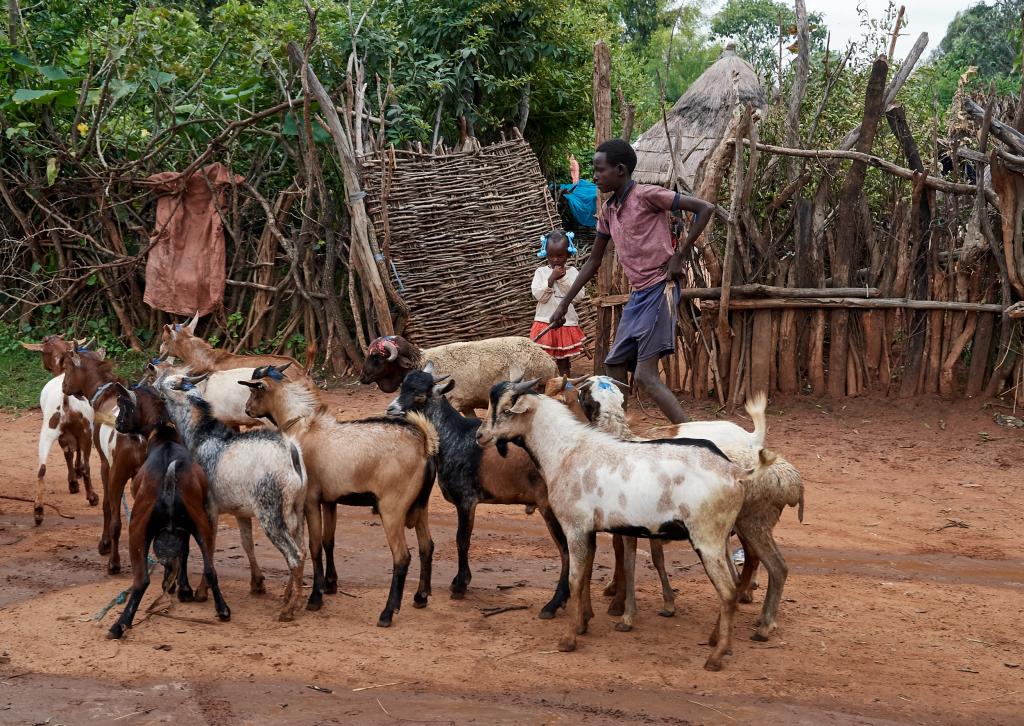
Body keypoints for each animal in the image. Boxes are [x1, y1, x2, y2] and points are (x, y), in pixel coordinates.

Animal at [475, 378, 765, 667]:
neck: (566, 451)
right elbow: (587, 574)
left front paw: (568, 639)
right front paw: (583, 624)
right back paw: (717, 641)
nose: (480, 435)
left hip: (707, 538)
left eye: (505, 410)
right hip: (721, 538)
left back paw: (716, 656)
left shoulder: (575, 527)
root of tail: (735, 471)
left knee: (727, 591)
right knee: (733, 584)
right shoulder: (590, 530)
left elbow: (575, 578)